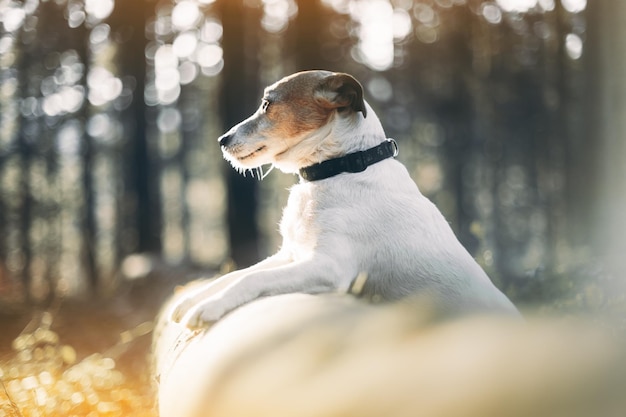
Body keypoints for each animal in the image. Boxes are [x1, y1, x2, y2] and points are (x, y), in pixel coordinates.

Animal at [171, 70, 516, 326]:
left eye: (267, 104)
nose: (222, 140)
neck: (340, 167)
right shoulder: (291, 254)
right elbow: (237, 274)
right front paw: (192, 299)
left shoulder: (327, 266)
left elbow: (251, 280)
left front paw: (209, 307)